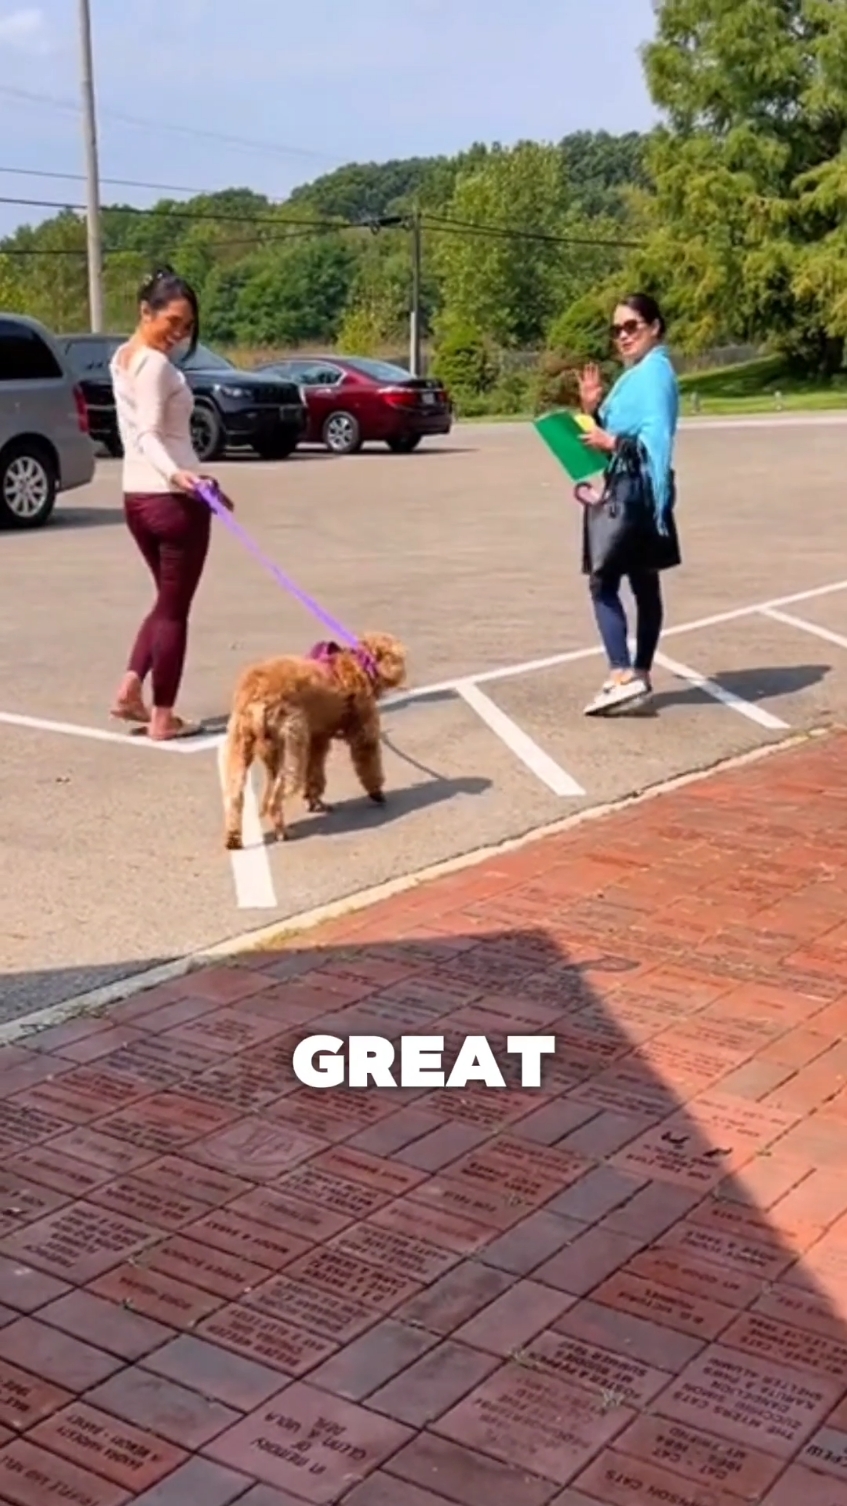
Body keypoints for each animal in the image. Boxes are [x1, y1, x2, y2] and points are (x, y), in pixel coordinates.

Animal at [221, 632, 406, 855]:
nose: (403, 674)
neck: (358, 664)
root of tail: (257, 699)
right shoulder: (362, 731)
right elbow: (368, 762)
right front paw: (376, 792)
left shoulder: (317, 740)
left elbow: (315, 774)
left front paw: (314, 800)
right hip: (293, 747)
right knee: (277, 796)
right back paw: (282, 830)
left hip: (242, 747)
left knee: (235, 796)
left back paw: (233, 836)